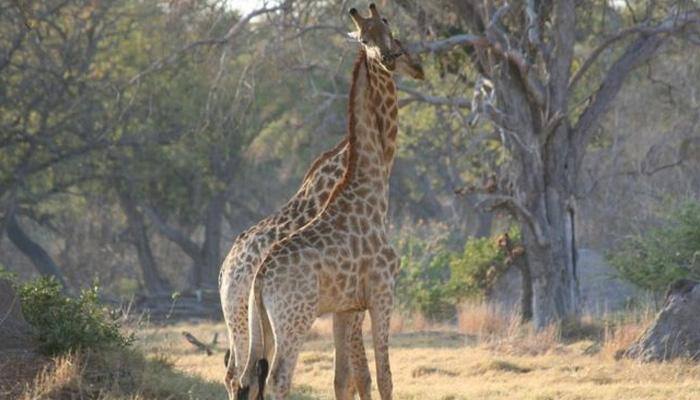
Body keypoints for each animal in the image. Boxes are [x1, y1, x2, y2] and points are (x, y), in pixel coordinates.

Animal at [237, 4, 424, 399]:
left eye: (388, 29)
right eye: (366, 37)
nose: (409, 63)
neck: (373, 192)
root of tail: (259, 279)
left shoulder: (345, 306)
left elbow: (346, 378)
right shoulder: (382, 291)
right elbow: (383, 376)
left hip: (261, 323)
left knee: (248, 377)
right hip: (295, 319)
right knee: (277, 379)